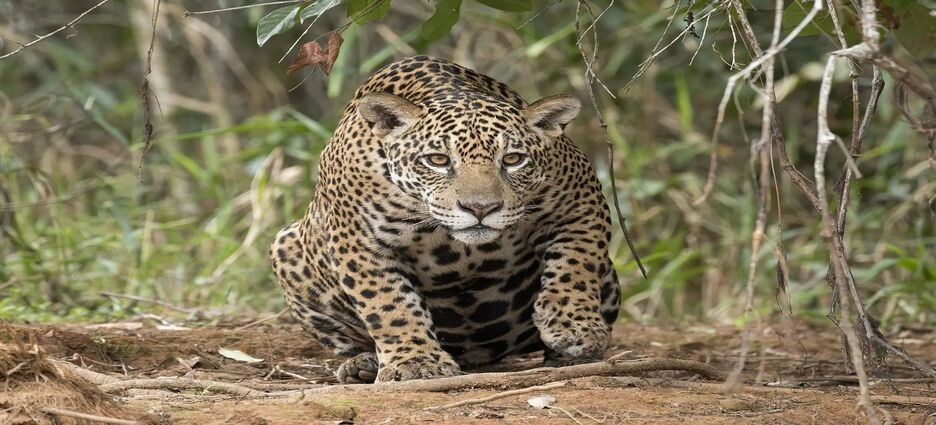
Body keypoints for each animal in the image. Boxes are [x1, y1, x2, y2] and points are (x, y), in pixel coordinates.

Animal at [270, 55, 621, 384]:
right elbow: (388, 304)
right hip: (287, 248)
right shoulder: (358, 240)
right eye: (438, 160)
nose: (480, 208)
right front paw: (415, 361)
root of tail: (474, 354)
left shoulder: (581, 200)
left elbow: (576, 264)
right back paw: (363, 364)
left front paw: (575, 327)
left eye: (512, 159)